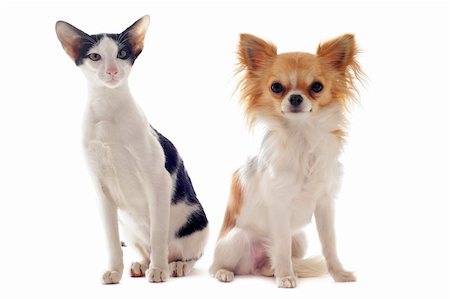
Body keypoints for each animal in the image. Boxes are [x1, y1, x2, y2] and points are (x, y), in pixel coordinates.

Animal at [55, 16, 209, 286]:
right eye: (95, 56)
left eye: (122, 54)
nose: (112, 71)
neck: (108, 110)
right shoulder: (101, 189)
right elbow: (112, 241)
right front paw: (114, 271)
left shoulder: (157, 180)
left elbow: (158, 234)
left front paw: (158, 270)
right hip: (129, 228)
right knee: (143, 248)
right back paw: (140, 264)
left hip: (198, 223)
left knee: (188, 254)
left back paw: (174, 266)